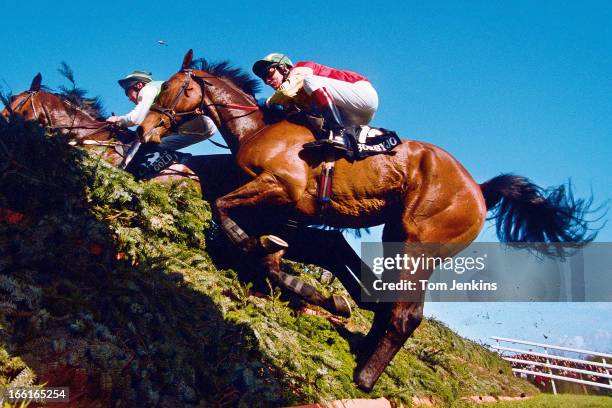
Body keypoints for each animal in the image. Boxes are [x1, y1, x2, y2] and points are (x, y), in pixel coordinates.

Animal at [137, 49, 596, 390]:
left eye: (173, 89)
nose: (146, 131)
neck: (256, 131)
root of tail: (478, 189)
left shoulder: (283, 193)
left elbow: (228, 212)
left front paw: (259, 249)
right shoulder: (291, 218)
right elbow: (303, 252)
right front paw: (311, 286)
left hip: (419, 244)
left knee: (406, 314)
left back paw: (365, 376)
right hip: (396, 234)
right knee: (390, 303)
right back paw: (363, 352)